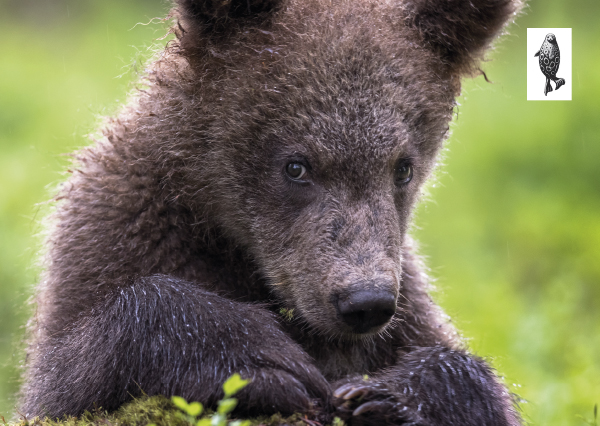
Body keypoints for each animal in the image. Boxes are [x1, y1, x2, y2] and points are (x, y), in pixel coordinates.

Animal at [19, 0, 524, 422]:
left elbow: (464, 375)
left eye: (402, 167)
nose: (364, 302)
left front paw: (393, 395)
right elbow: (61, 384)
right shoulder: (112, 239)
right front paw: (263, 360)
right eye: (296, 165)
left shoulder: (407, 310)